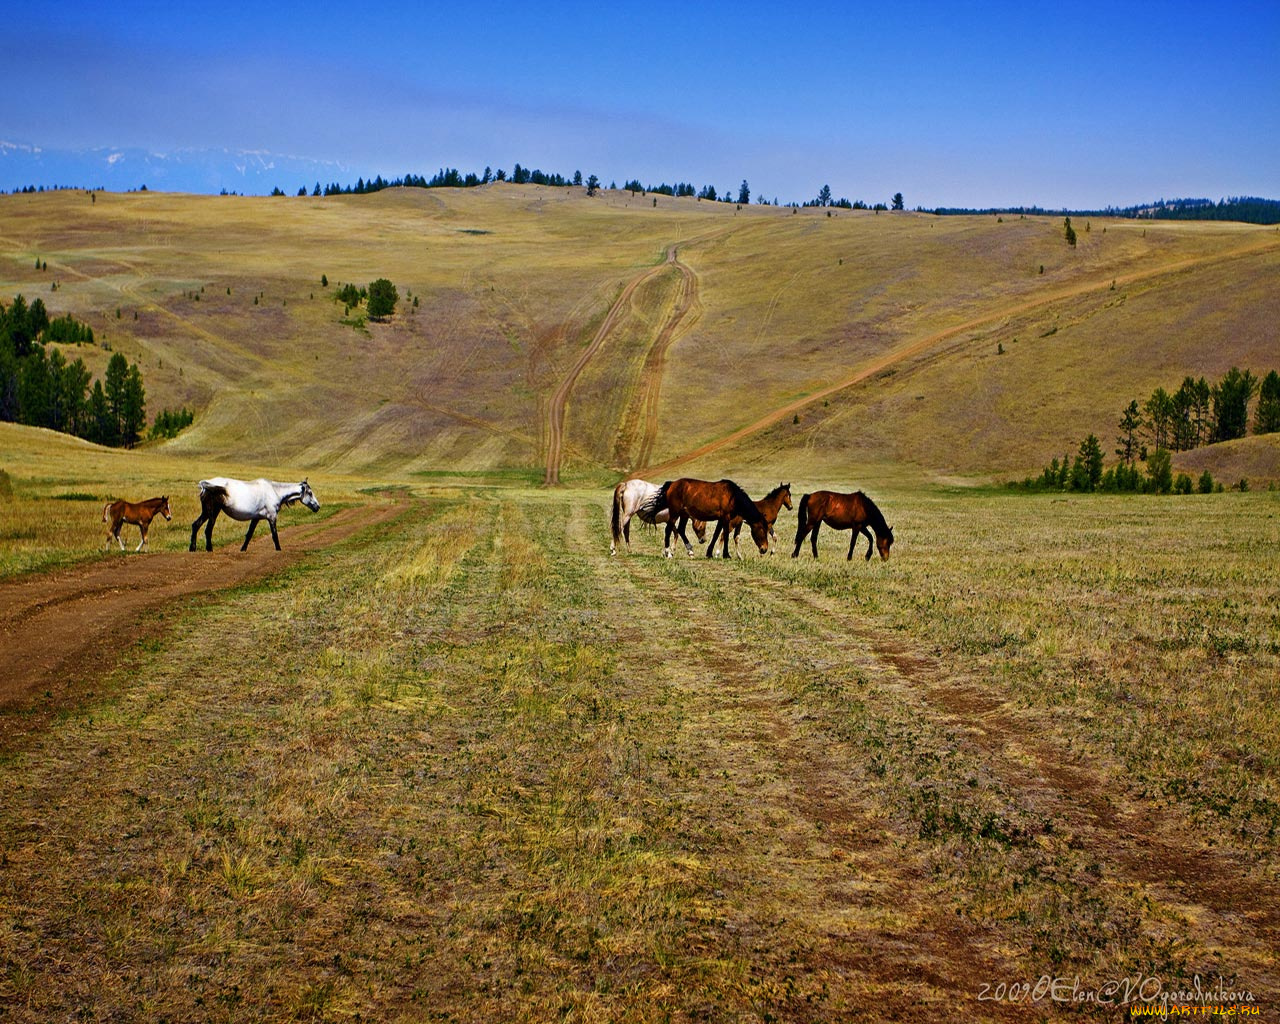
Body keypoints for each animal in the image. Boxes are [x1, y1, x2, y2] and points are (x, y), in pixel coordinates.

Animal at [189, 478, 320, 552]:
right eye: (310, 493)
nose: (317, 507)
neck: (274, 491)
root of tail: (206, 485)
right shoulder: (272, 517)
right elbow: (275, 535)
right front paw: (278, 549)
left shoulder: (256, 518)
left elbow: (249, 535)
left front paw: (243, 550)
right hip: (213, 511)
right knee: (208, 530)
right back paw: (209, 549)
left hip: (206, 512)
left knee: (196, 525)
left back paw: (192, 549)